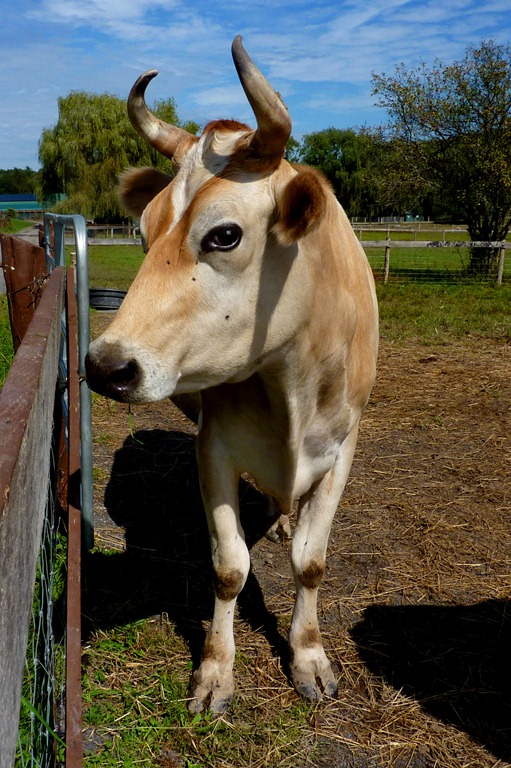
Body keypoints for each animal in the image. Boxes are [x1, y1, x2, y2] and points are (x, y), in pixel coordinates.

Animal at [85, 36, 378, 714]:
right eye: (142, 233)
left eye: (223, 234)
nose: (106, 366)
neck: (290, 382)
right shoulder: (213, 446)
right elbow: (228, 565)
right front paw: (217, 670)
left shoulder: (343, 447)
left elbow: (311, 562)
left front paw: (309, 656)